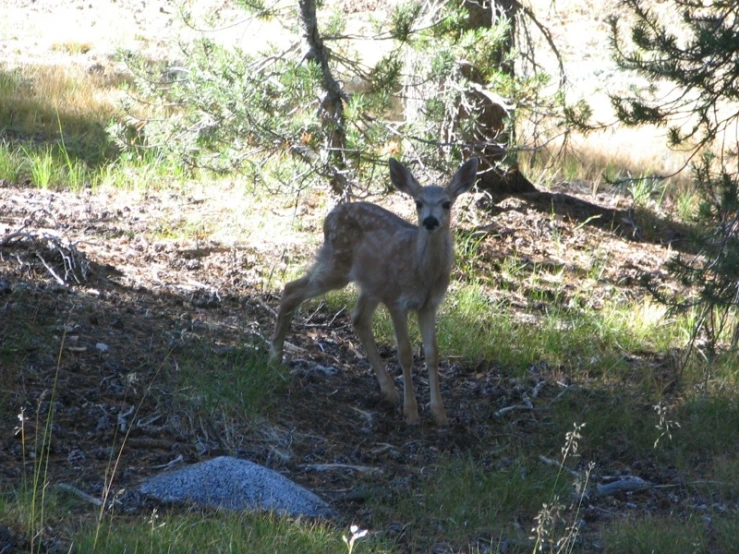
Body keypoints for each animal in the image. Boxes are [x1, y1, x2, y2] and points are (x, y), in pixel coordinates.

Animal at [272, 156, 480, 422]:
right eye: (418, 203)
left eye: (447, 203)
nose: (430, 221)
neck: (422, 273)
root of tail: (329, 216)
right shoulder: (396, 300)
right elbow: (405, 353)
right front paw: (411, 413)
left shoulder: (429, 305)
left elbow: (432, 354)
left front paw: (439, 414)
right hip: (339, 264)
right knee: (291, 289)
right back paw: (274, 357)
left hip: (370, 283)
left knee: (358, 318)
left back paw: (388, 390)